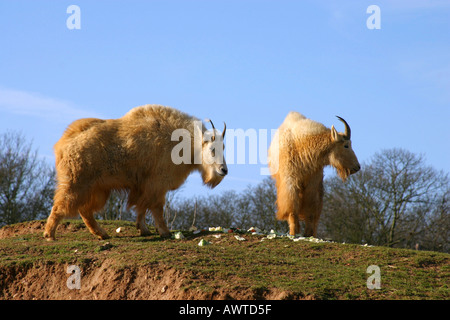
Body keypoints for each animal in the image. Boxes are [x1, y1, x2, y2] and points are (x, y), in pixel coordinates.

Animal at [44, 105, 227, 240]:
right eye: (212, 149)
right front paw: (164, 231)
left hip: (98, 189)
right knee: (61, 206)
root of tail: (63, 144)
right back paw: (49, 234)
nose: (224, 170)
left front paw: (143, 229)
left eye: (223, 147)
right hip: (76, 183)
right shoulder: (157, 184)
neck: (186, 143)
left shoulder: (145, 186)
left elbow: (142, 207)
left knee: (84, 210)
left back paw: (102, 234)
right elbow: (156, 207)